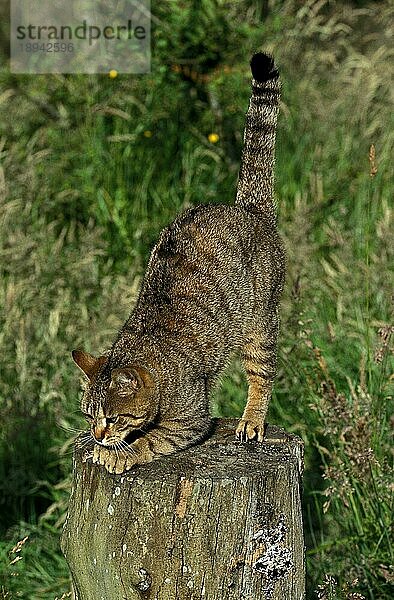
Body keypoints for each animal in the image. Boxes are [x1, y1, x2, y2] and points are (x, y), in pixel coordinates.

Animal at [73, 51, 284, 474]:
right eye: (89, 416)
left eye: (114, 418)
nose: (97, 435)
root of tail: (249, 209)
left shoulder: (190, 420)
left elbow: (152, 440)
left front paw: (119, 453)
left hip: (259, 322)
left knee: (263, 374)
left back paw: (252, 420)